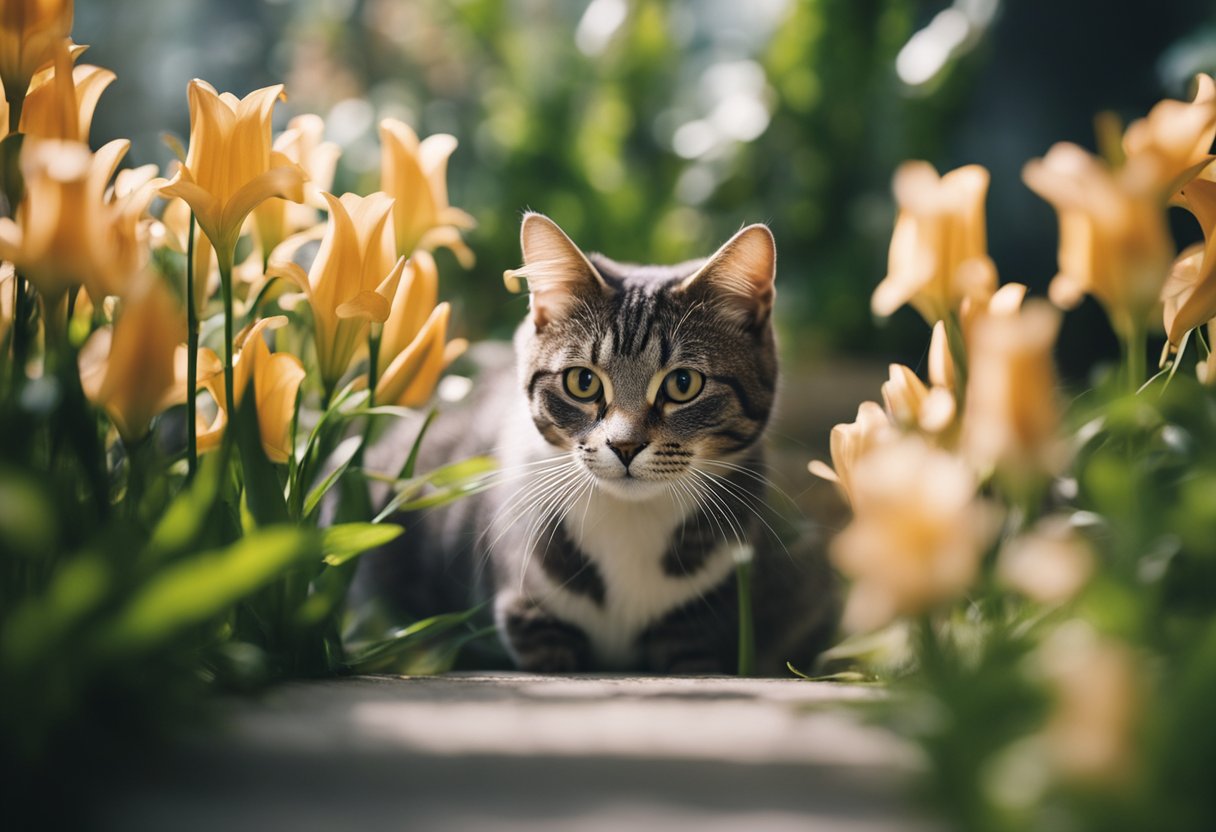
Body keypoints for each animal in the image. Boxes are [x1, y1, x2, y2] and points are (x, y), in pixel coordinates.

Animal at [355, 214, 841, 676]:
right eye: (583, 381)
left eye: (684, 383)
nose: (624, 446)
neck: (631, 520)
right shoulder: (527, 606)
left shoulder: (705, 622)